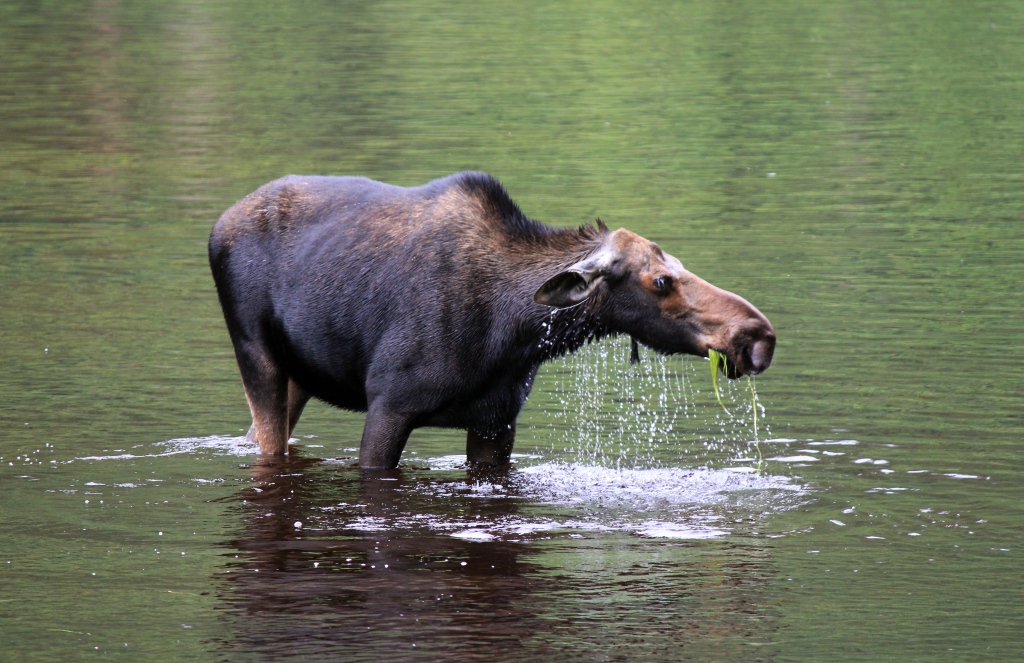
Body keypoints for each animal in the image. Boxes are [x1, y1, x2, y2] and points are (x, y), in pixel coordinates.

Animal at [207, 174, 770, 469]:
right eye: (661, 281)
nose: (758, 335)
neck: (512, 331)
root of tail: (216, 226)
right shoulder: (389, 404)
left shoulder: (496, 421)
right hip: (254, 352)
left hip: (301, 374)